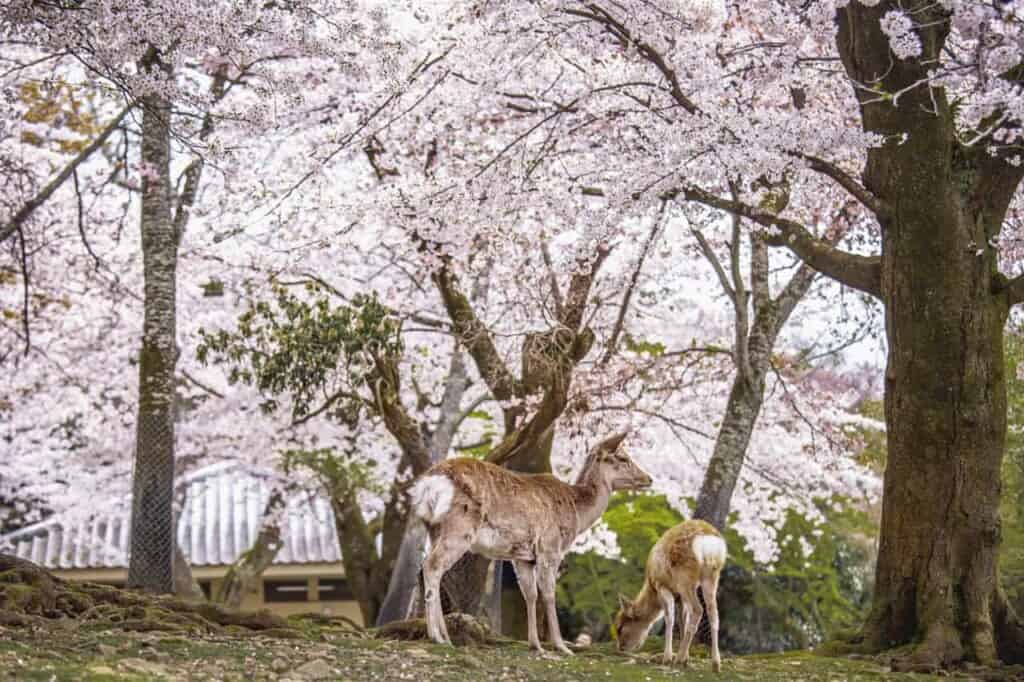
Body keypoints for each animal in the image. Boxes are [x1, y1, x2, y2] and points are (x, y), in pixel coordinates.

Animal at [405, 430, 647, 655]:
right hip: (460, 527)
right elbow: (548, 594)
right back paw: (436, 636)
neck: (577, 513)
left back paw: (445, 636)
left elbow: (530, 595)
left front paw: (536, 645)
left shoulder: (522, 557)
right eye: (623, 457)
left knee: (429, 569)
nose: (648, 478)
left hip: (434, 528)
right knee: (432, 565)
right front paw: (561, 647)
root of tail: (428, 484)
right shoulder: (550, 547)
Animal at [610, 520, 724, 667]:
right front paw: (686, 657)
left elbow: (669, 617)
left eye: (620, 628)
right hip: (711, 576)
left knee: (698, 609)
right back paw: (715, 663)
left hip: (684, 577)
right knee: (713, 612)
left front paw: (668, 657)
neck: (650, 585)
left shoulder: (662, 586)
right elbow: (682, 620)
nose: (620, 648)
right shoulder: (679, 597)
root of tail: (709, 542)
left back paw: (678, 658)